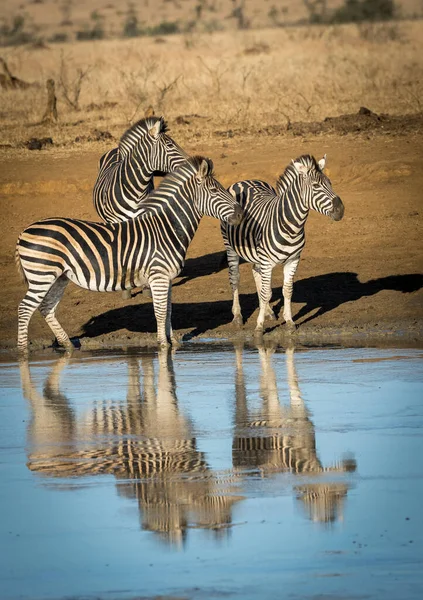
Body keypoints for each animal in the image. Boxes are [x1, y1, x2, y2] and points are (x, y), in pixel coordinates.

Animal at [16, 156, 243, 352]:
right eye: (214, 190)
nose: (241, 214)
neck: (167, 228)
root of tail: (24, 231)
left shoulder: (166, 277)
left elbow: (168, 310)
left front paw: (174, 343)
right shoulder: (158, 276)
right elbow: (160, 312)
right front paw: (163, 345)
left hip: (59, 276)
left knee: (47, 308)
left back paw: (68, 346)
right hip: (41, 274)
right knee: (25, 309)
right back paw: (23, 353)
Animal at [222, 155, 344, 330]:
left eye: (330, 183)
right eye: (315, 186)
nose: (341, 210)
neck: (291, 226)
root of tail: (244, 180)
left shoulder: (293, 260)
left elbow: (287, 290)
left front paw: (289, 321)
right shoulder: (267, 262)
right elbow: (266, 292)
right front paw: (259, 327)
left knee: (256, 272)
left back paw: (268, 311)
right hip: (230, 246)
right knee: (235, 278)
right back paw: (238, 316)